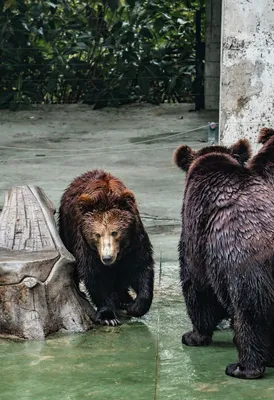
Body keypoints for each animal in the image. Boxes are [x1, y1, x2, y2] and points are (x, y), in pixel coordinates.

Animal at [58, 170, 154, 326]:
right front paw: (108, 316)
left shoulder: (135, 241)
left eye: (114, 232)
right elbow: (95, 274)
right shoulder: (86, 246)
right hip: (66, 230)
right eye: (97, 234)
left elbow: (141, 267)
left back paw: (125, 299)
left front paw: (134, 307)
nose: (107, 258)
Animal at [173, 130, 274, 380]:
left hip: (246, 269)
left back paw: (243, 367)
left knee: (249, 317)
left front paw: (193, 335)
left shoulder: (198, 234)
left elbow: (197, 285)